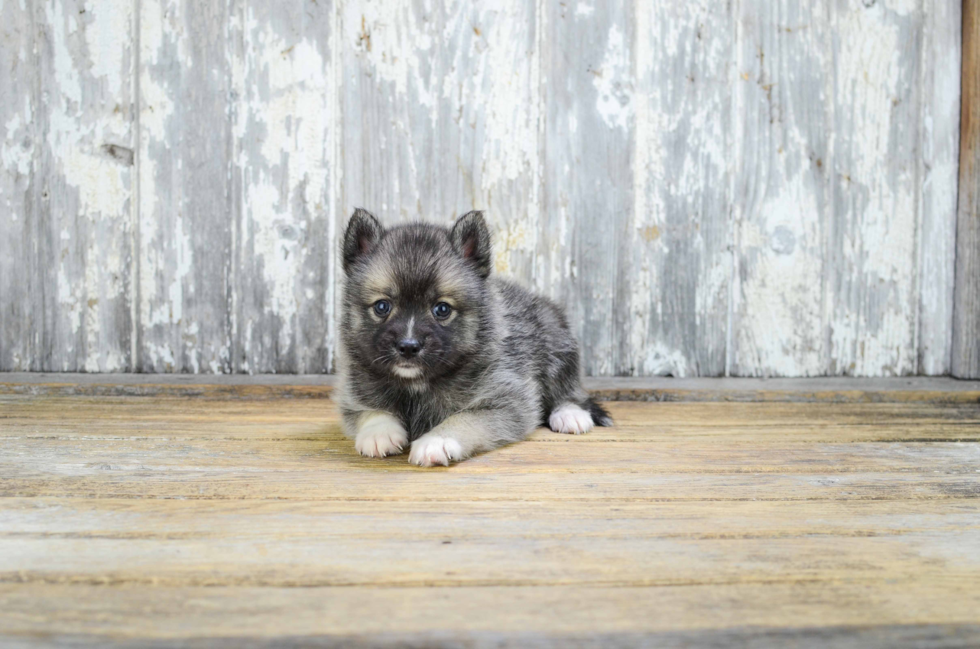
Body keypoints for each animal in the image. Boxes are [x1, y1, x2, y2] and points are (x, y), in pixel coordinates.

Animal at [336, 210, 612, 468]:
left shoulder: (505, 402)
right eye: (382, 306)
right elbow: (369, 411)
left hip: (555, 347)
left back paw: (570, 414)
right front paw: (378, 432)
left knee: (569, 392)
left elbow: (464, 419)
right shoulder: (351, 395)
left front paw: (437, 440)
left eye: (442, 309)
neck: (417, 384)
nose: (408, 347)